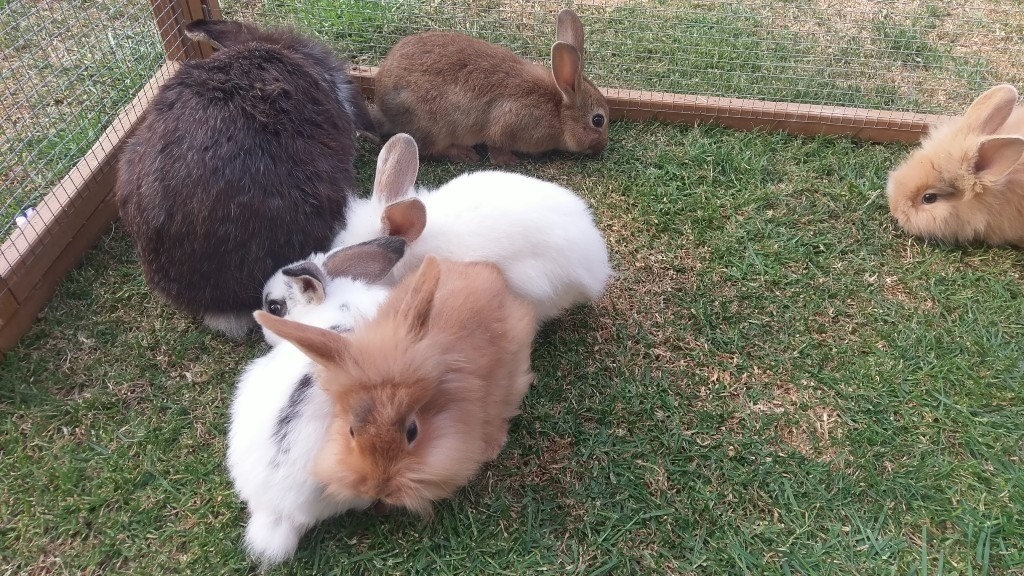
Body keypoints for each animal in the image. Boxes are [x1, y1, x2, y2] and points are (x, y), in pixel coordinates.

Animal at [371, 9, 609, 164]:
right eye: (598, 120)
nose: (602, 147)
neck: (558, 111)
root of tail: (383, 108)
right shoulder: (507, 124)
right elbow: (496, 146)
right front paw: (509, 161)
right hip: (432, 127)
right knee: (430, 148)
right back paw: (464, 154)